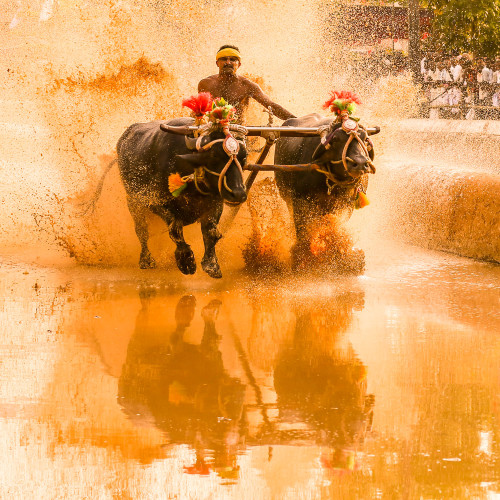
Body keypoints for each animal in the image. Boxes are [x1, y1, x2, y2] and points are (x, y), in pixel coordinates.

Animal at [274, 113, 378, 274]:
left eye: (365, 138)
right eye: (335, 140)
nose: (360, 163)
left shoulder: (346, 206)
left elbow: (336, 226)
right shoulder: (299, 201)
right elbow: (302, 230)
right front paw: (301, 259)